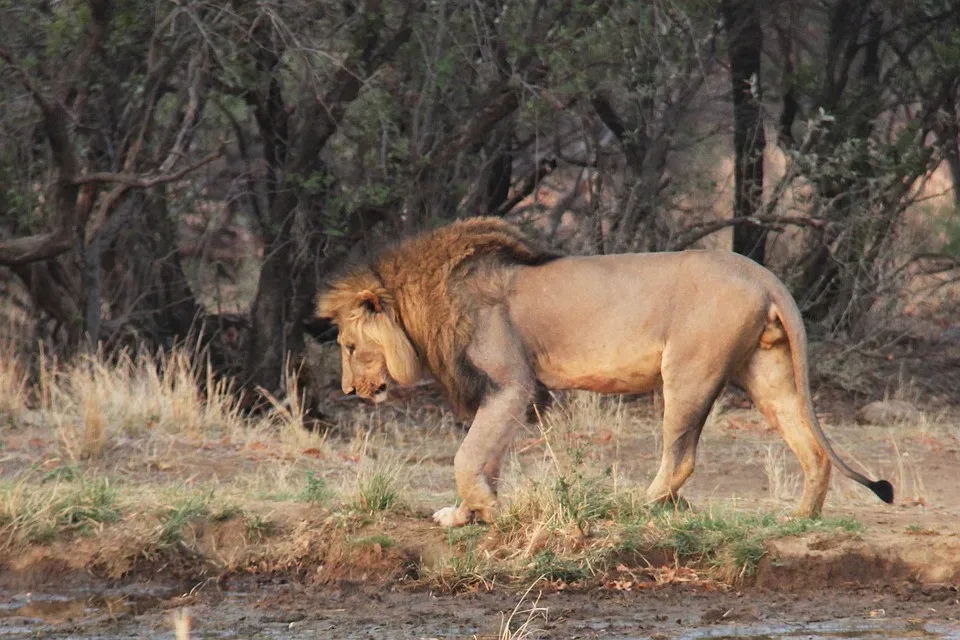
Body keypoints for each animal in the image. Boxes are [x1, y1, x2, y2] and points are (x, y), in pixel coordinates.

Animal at [318, 218, 896, 528]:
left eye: (349, 345)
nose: (347, 389)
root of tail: (761, 272)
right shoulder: (507, 393)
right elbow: (486, 458)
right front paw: (465, 516)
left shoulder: (512, 383)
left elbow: (467, 456)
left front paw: (485, 510)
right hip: (767, 372)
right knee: (813, 449)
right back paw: (800, 518)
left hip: (689, 371)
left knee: (681, 457)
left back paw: (636, 507)